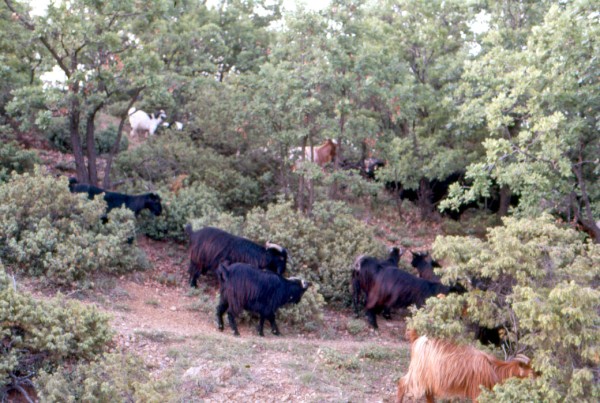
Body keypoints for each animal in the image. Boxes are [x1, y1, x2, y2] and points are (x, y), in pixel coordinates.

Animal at [398, 330, 536, 402]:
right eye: (531, 373)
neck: (494, 368)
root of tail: (417, 339)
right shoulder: (477, 392)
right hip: (417, 373)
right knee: (402, 383)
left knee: (428, 393)